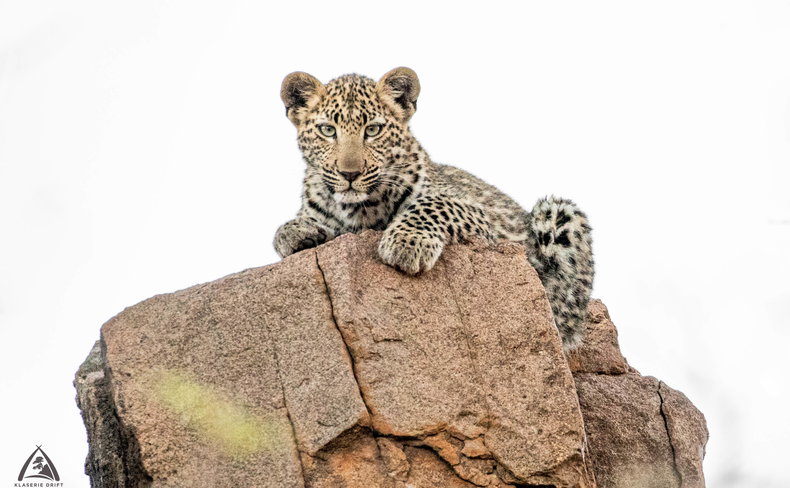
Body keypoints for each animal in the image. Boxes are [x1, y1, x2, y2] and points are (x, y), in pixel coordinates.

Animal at [274, 67, 594, 350]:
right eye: (328, 130)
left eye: (373, 130)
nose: (349, 174)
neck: (359, 208)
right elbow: (283, 231)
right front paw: (297, 232)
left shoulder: (481, 217)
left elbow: (432, 204)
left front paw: (406, 243)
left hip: (559, 213)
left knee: (565, 314)